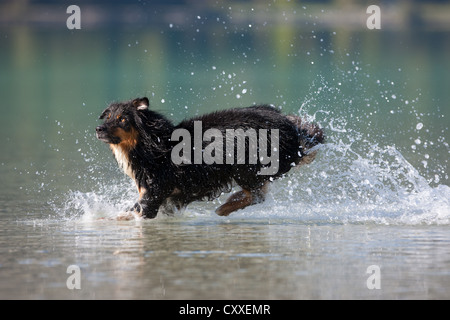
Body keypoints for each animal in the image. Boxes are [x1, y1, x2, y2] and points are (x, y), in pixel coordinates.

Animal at [96, 97, 324, 218]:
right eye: (108, 117)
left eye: (122, 119)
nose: (98, 129)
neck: (153, 145)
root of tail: (290, 125)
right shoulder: (166, 198)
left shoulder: (153, 193)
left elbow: (130, 213)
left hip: (245, 166)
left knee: (256, 195)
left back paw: (224, 207)